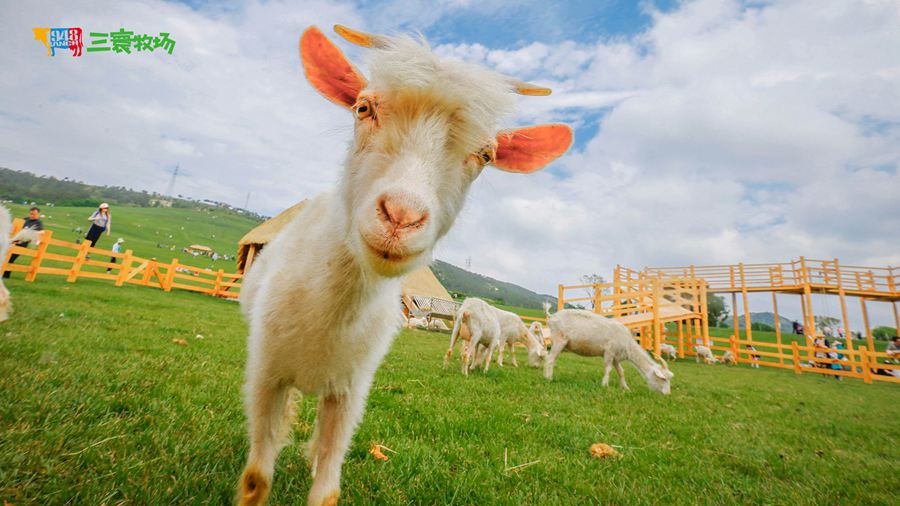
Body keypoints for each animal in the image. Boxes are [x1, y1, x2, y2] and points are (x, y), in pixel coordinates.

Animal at [232, 24, 568, 506]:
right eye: (363, 107)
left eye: (486, 155)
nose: (401, 217)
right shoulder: (265, 375)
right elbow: (257, 477)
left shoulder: (350, 391)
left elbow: (327, 490)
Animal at [540, 308, 676, 396]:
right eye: (663, 379)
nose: (668, 394)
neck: (628, 343)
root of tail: (552, 317)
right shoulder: (609, 352)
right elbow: (608, 369)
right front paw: (604, 385)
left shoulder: (616, 357)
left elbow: (621, 372)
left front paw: (625, 388)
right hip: (559, 340)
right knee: (550, 359)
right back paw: (548, 378)